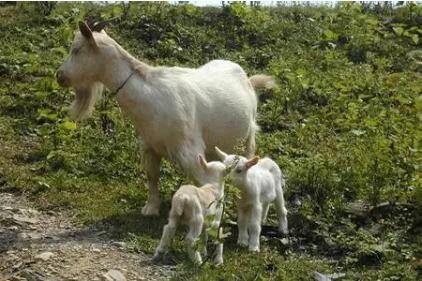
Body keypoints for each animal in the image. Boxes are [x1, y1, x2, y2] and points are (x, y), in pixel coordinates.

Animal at [55, 21, 274, 214]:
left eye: (77, 50)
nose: (60, 76)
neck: (151, 96)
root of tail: (247, 77)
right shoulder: (149, 146)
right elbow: (153, 178)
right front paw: (151, 208)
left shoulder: (190, 152)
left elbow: (204, 182)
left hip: (249, 135)